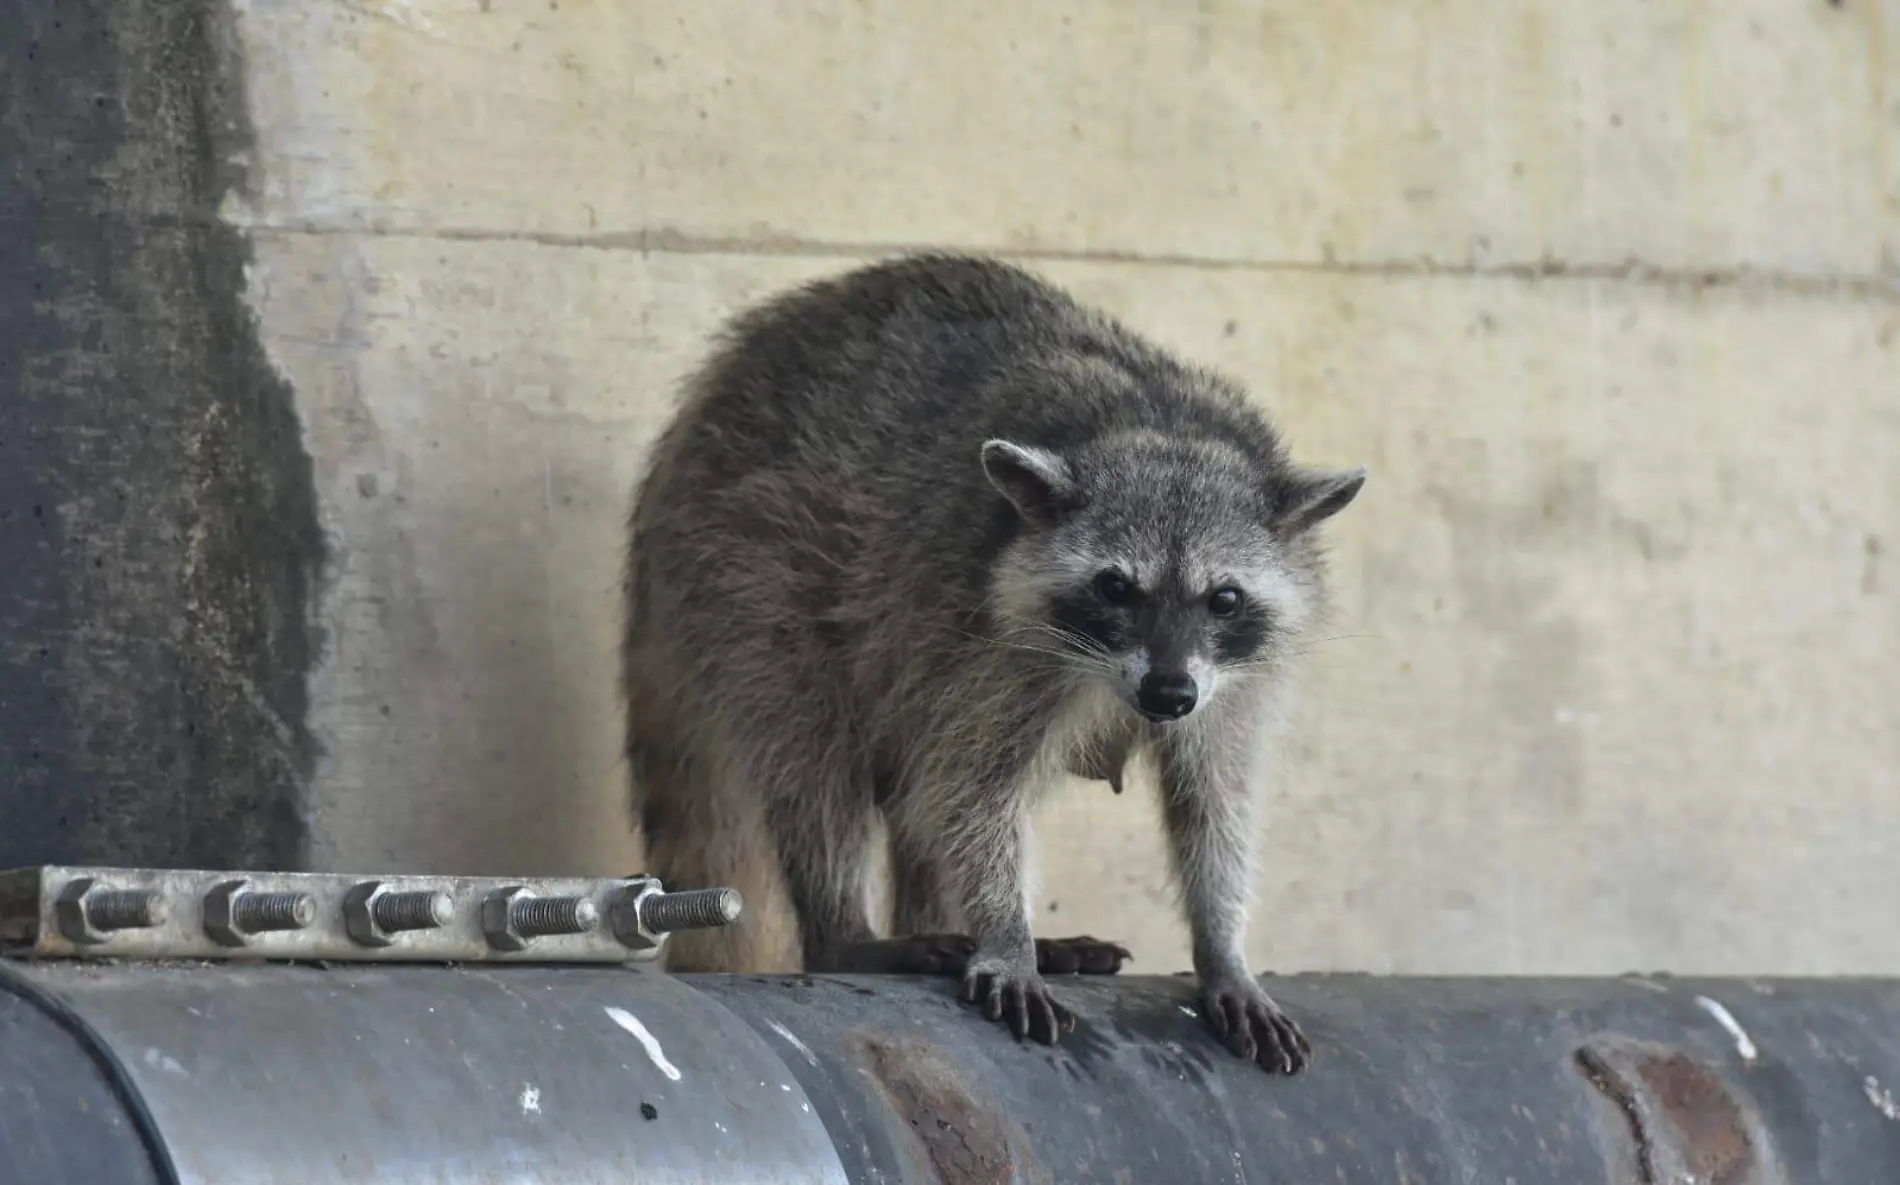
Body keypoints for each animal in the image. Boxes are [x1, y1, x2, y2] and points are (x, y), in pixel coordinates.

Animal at [627, 256, 1368, 1071]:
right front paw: (1006, 935)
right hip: (749, 573)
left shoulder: (1239, 681)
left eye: (1225, 597)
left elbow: (1216, 800)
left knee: (911, 790)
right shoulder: (981, 632)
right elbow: (972, 790)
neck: (1156, 427)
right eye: (1116, 587)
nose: (1169, 694)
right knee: (819, 760)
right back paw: (847, 933)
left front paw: (1222, 946)